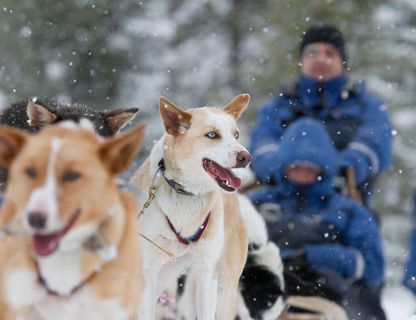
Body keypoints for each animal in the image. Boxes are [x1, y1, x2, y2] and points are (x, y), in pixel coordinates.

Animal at [130, 94, 250, 318]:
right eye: (212, 134)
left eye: (236, 135)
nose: (245, 156)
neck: (185, 193)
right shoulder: (147, 271)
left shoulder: (206, 272)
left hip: (224, 288)